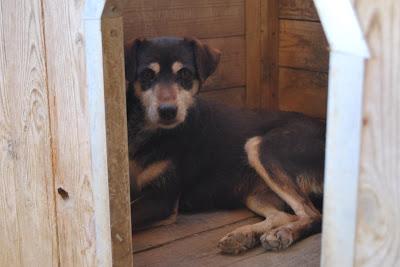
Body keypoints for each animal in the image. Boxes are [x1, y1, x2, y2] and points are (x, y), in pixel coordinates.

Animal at [125, 36, 324, 254]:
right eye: (147, 74)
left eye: (185, 73)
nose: (168, 111)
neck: (146, 131)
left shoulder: (162, 199)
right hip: (253, 192)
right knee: (284, 215)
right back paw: (243, 236)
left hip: (261, 147)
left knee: (313, 215)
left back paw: (283, 233)